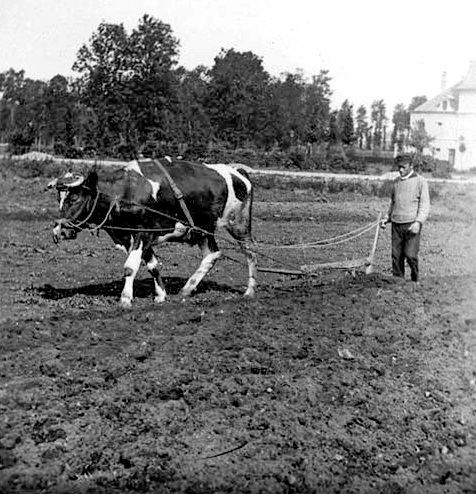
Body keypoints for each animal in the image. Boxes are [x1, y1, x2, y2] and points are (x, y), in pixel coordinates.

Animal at [46, 158, 258, 306]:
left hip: (238, 224)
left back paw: (249, 291)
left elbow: (130, 267)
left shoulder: (142, 233)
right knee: (212, 254)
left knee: (250, 252)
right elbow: (153, 266)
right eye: (59, 198)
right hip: (203, 230)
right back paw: (187, 289)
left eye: (74, 198)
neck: (126, 193)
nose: (61, 231)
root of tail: (237, 171)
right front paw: (161, 295)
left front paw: (125, 299)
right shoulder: (133, 236)